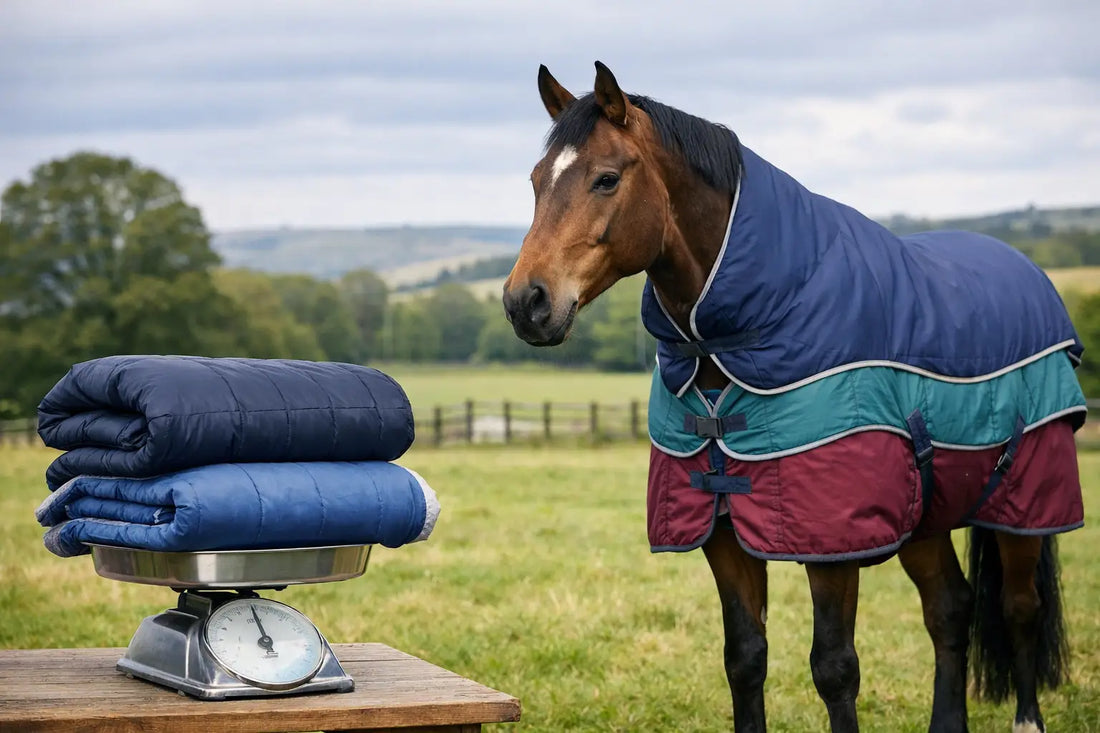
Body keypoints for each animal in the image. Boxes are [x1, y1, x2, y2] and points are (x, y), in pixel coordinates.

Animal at [502, 62, 1086, 732]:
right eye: (536, 181)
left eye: (605, 178)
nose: (525, 302)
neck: (734, 339)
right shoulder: (724, 531)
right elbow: (744, 657)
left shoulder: (831, 543)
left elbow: (834, 668)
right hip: (926, 514)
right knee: (950, 607)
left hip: (1022, 507)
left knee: (1019, 605)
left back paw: (1027, 719)